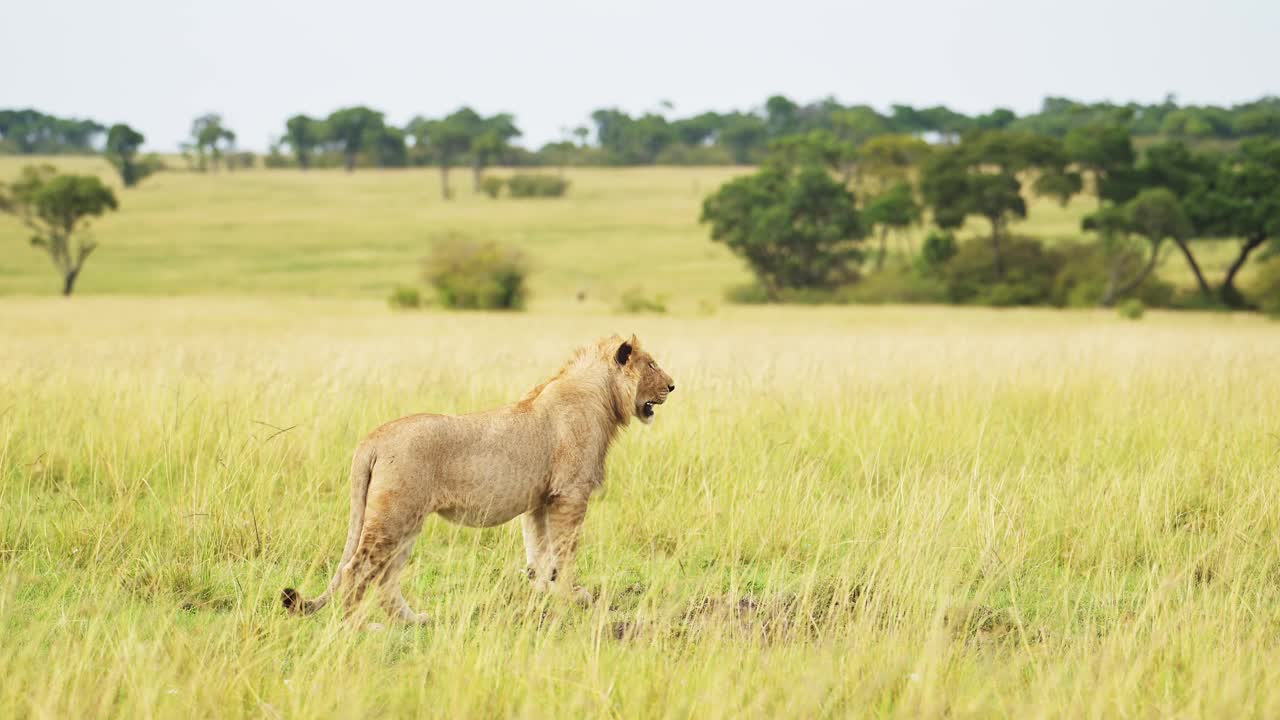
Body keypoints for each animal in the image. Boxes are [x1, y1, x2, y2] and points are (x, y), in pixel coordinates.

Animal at [284, 333, 675, 620]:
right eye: (652, 364)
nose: (673, 386)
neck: (603, 397)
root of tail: (372, 439)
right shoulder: (571, 493)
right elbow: (564, 551)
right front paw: (573, 596)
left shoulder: (541, 499)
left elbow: (539, 552)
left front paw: (545, 594)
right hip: (392, 517)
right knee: (358, 570)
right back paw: (358, 627)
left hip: (406, 522)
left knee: (386, 576)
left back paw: (413, 621)